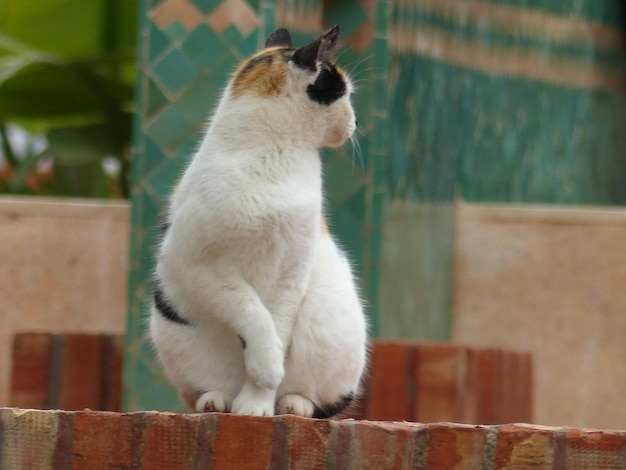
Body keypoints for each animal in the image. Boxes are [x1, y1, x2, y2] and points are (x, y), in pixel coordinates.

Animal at [150, 25, 366, 416]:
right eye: (344, 94)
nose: (356, 122)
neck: (274, 154)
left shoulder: (292, 272)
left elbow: (276, 328)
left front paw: (256, 403)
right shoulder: (197, 266)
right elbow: (252, 313)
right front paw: (265, 370)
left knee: (317, 397)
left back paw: (293, 405)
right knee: (206, 385)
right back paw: (216, 401)